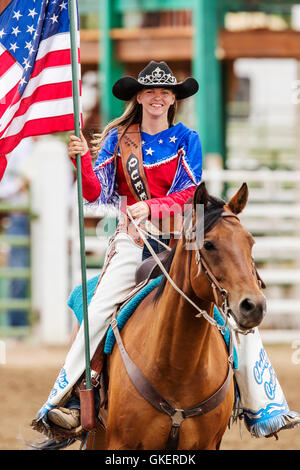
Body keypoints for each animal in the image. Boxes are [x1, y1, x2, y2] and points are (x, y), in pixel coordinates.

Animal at [85, 182, 266, 450]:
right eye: (208, 244)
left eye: (250, 242)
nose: (253, 306)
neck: (178, 367)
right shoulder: (121, 442)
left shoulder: (208, 444)